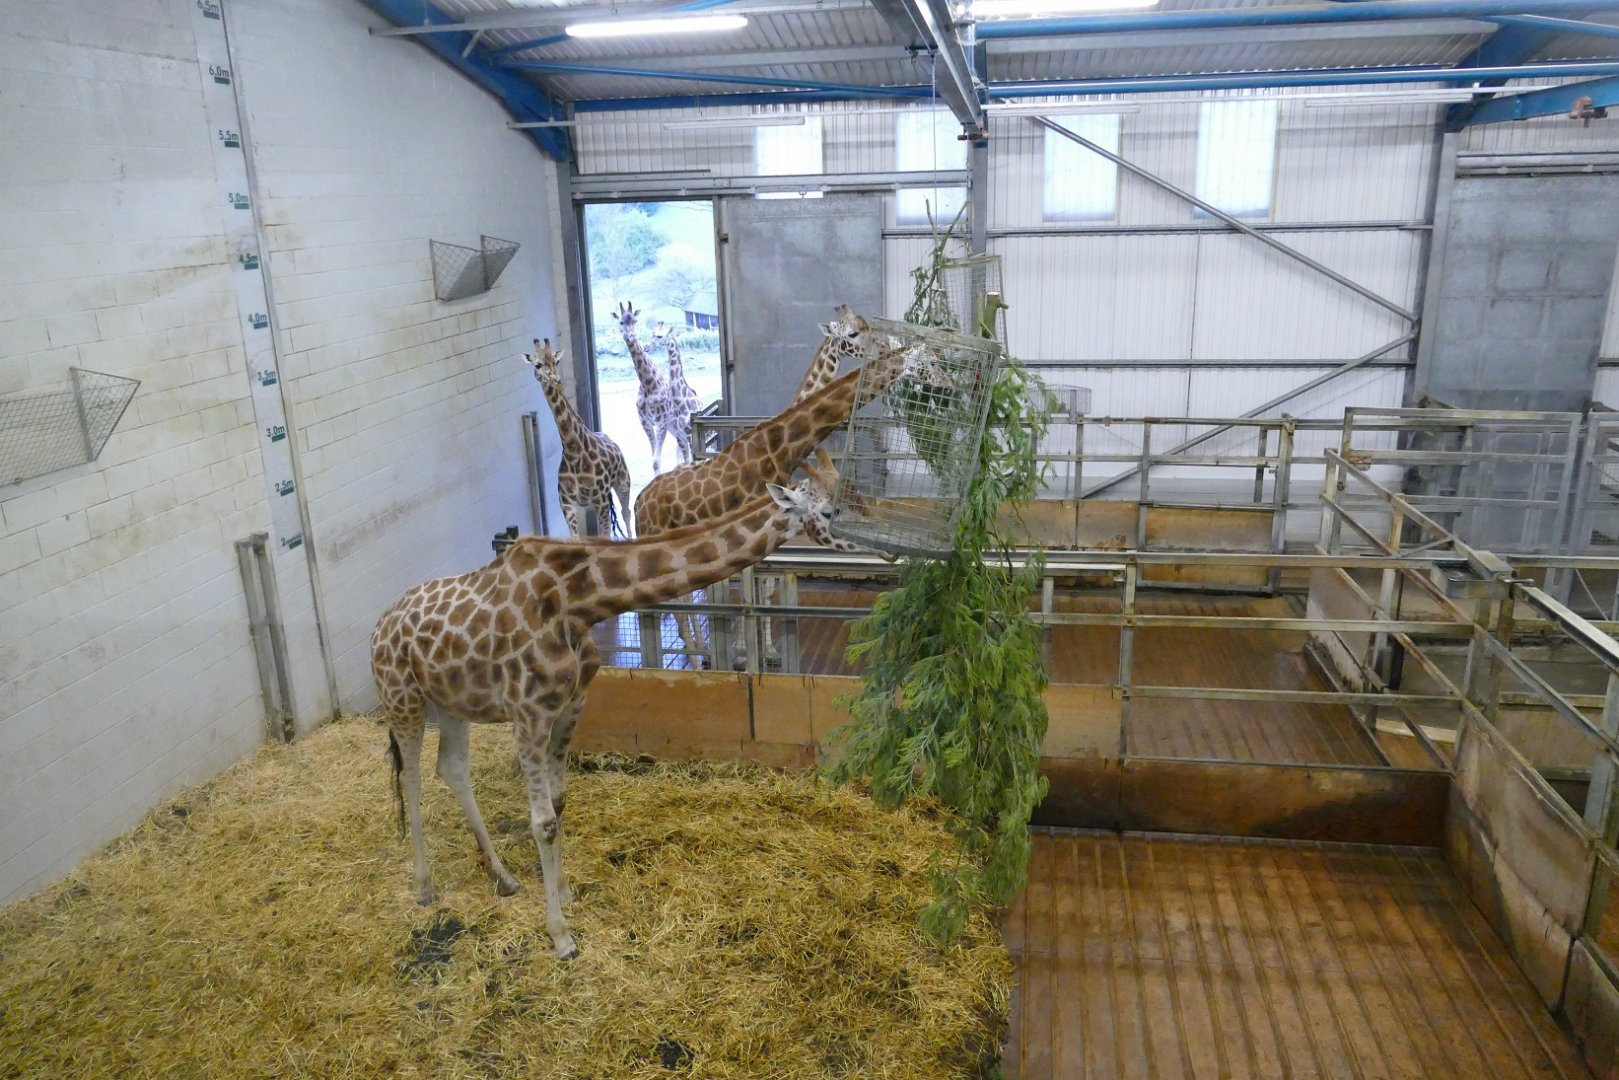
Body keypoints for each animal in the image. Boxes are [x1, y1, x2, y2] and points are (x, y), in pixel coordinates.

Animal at [370, 451, 884, 960]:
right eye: (831, 510)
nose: (883, 549)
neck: (577, 603)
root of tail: (379, 628)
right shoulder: (528, 713)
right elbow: (542, 822)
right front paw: (560, 935)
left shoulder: (571, 704)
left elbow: (559, 803)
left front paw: (565, 891)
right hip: (402, 698)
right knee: (412, 776)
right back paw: (424, 886)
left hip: (451, 702)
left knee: (452, 769)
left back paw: (504, 877)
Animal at [524, 339, 632, 538]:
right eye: (538, 364)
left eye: (556, 361)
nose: (557, 382)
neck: (573, 450)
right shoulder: (567, 503)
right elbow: (577, 538)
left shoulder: (600, 499)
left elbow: (606, 535)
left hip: (623, 482)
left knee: (626, 513)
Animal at [616, 301, 681, 474]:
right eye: (621, 322)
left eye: (635, 320)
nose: (631, 336)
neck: (647, 384)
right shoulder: (645, 421)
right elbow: (654, 459)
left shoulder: (661, 421)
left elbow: (656, 460)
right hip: (673, 427)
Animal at [647, 320, 699, 465]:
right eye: (652, 333)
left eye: (660, 336)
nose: (646, 346)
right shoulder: (680, 435)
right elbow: (687, 461)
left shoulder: (689, 434)